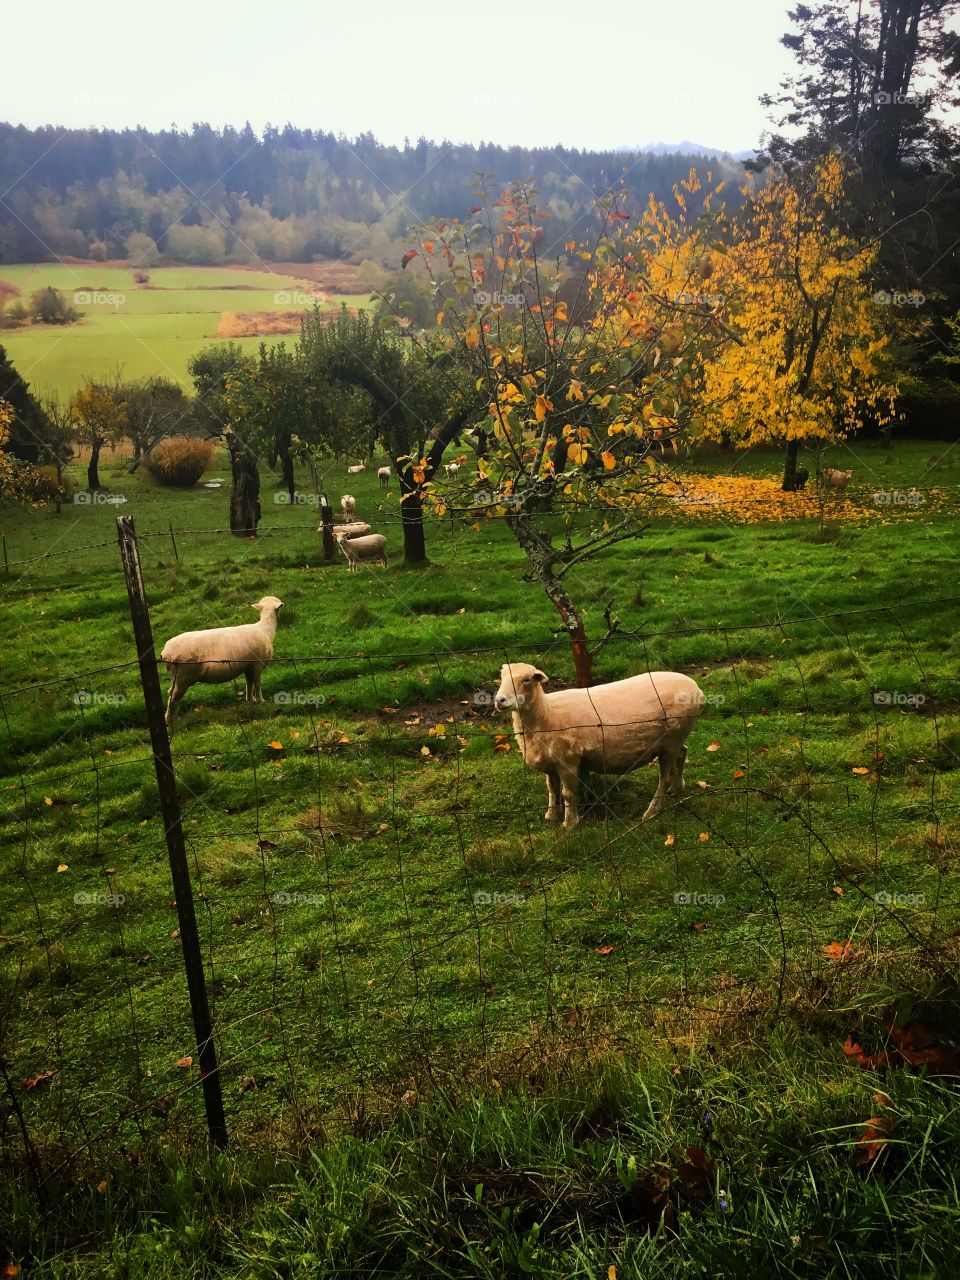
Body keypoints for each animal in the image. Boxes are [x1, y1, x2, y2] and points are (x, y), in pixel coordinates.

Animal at [160, 593, 281, 727]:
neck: (265, 629)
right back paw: (170, 721)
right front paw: (261, 701)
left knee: (171, 693)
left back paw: (175, 719)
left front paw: (251, 701)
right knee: (174, 696)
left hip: (176, 676)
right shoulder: (257, 664)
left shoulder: (248, 665)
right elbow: (258, 684)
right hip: (183, 675)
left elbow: (249, 683)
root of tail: (165, 652)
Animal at [496, 660, 706, 829]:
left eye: (526, 680)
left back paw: (651, 812)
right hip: (674, 740)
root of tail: (696, 688)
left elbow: (568, 794)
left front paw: (569, 824)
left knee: (665, 777)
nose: (499, 700)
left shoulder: (568, 762)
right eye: (501, 677)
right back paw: (677, 788)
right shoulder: (550, 763)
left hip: (672, 740)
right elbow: (552, 790)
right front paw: (551, 816)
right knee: (682, 754)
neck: (546, 714)